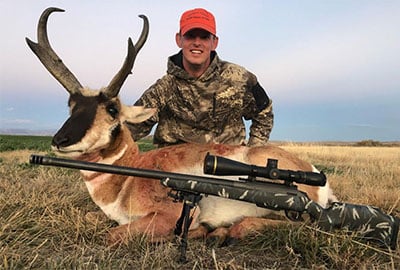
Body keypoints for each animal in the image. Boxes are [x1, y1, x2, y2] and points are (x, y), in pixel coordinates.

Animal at [26, 7, 336, 245]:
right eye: (71, 104)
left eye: (112, 109)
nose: (60, 140)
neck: (131, 174)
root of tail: (315, 173)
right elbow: (90, 216)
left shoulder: (167, 214)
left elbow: (113, 235)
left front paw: (193, 232)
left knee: (304, 226)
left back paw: (222, 231)